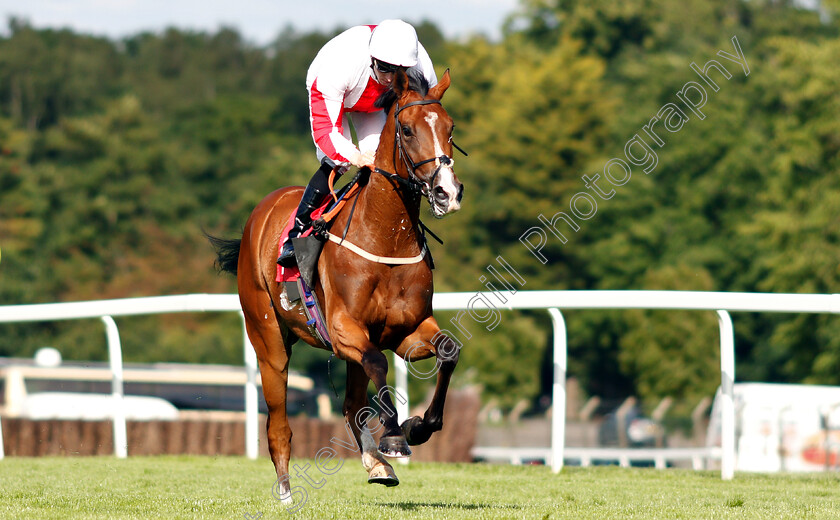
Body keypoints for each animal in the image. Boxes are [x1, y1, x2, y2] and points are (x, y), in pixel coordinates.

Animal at [208, 68, 462, 500]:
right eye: (407, 130)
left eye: (450, 127)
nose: (447, 191)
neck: (385, 237)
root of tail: (262, 210)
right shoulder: (345, 330)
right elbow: (379, 363)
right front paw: (395, 436)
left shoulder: (407, 331)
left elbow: (448, 350)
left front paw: (418, 426)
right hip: (268, 341)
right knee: (279, 425)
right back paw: (286, 492)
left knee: (351, 404)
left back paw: (376, 464)